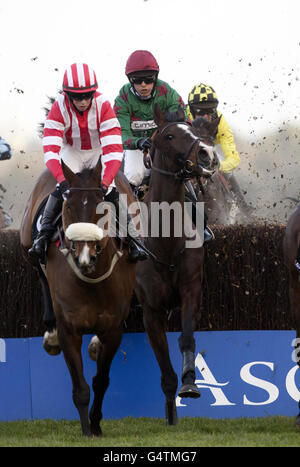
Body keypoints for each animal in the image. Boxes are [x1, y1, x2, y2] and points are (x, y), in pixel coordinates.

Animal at [19, 159, 135, 436]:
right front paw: (86, 429)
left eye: (101, 209)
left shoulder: (113, 329)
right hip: (27, 246)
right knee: (39, 272)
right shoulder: (69, 329)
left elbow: (101, 380)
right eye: (68, 207)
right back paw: (49, 333)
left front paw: (96, 423)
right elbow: (80, 387)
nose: (84, 256)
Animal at [135, 104, 219, 426]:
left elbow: (186, 339)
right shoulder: (151, 309)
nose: (207, 154)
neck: (166, 242)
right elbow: (164, 370)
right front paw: (171, 415)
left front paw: (190, 384)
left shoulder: (191, 289)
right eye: (169, 136)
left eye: (194, 130)